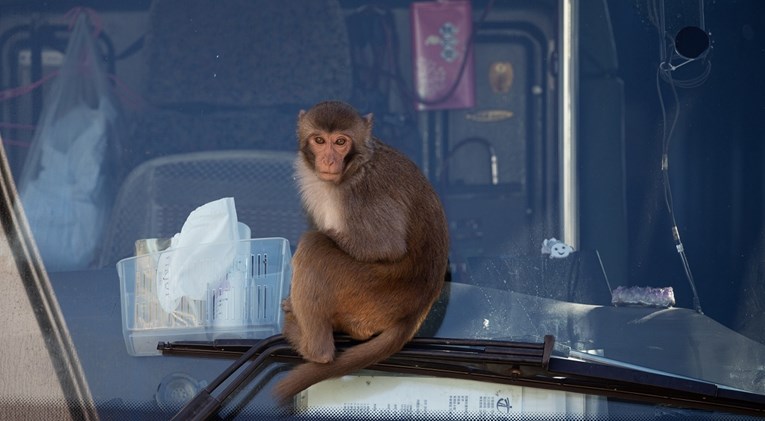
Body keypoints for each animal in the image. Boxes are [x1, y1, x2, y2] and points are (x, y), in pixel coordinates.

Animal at [274, 101, 450, 400]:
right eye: (319, 140)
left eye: (340, 142)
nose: (328, 161)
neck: (354, 167)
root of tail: (415, 311)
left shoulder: (361, 194)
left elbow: (387, 246)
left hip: (368, 293)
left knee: (314, 246)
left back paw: (313, 347)